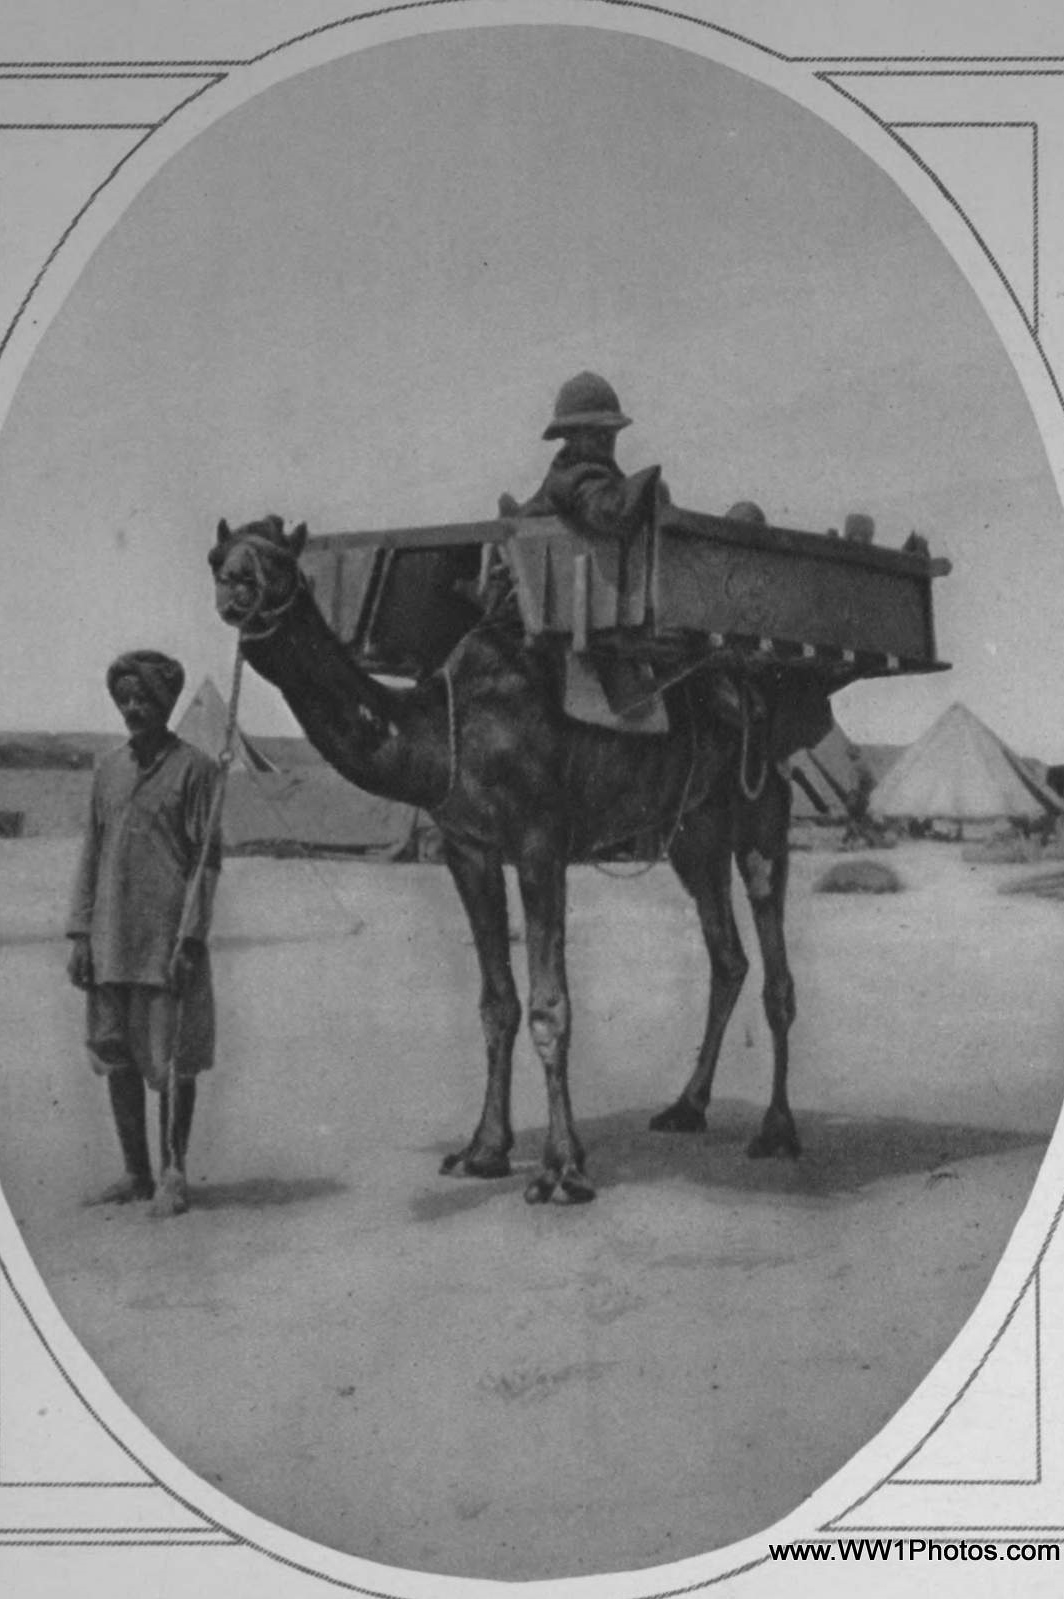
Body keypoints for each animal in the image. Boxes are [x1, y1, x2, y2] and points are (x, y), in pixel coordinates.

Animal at [210, 514, 801, 1204]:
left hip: (761, 807)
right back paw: (686, 1107)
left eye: (281, 562)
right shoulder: (468, 848)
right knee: (727, 956)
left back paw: (777, 1131)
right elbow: (497, 1005)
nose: (234, 586)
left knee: (776, 970)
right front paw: (483, 1150)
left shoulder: (541, 841)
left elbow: (551, 1008)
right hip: (694, 831)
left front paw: (563, 1170)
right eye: (217, 556)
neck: (445, 731)